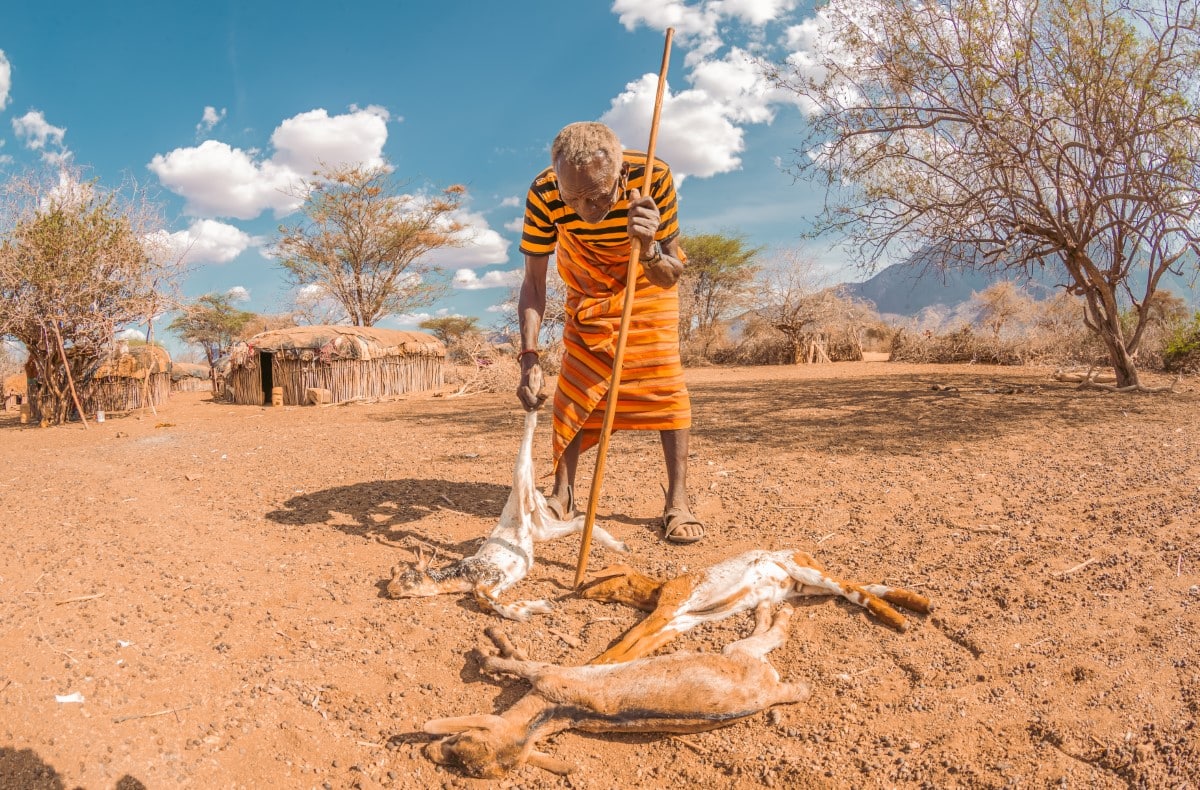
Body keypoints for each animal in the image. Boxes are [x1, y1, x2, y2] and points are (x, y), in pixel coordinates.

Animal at [384, 405, 628, 619]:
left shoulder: (492, 574)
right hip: (539, 529)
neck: (458, 574)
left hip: (521, 489)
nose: (389, 590)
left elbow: (481, 596)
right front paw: (536, 607)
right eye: (392, 571)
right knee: (578, 521)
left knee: (526, 445)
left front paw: (527, 611)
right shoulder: (495, 585)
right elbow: (488, 601)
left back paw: (534, 397)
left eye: (405, 575)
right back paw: (620, 546)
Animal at [422, 605, 806, 773]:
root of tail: (770, 693)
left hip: (737, 657)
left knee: (770, 636)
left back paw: (775, 610)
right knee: (794, 678)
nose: (429, 753)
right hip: (747, 663)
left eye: (460, 741)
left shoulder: (550, 675)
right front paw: (499, 642)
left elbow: (514, 664)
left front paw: (488, 650)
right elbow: (517, 658)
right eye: (468, 769)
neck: (548, 714)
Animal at [578, 545, 926, 662]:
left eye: (601, 580)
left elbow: (630, 637)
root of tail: (803, 553)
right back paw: (918, 604)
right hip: (804, 587)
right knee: (858, 586)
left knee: (852, 588)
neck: (658, 589)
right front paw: (608, 668)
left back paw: (899, 618)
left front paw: (595, 665)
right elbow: (638, 646)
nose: (581, 591)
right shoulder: (678, 622)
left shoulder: (669, 608)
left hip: (805, 571)